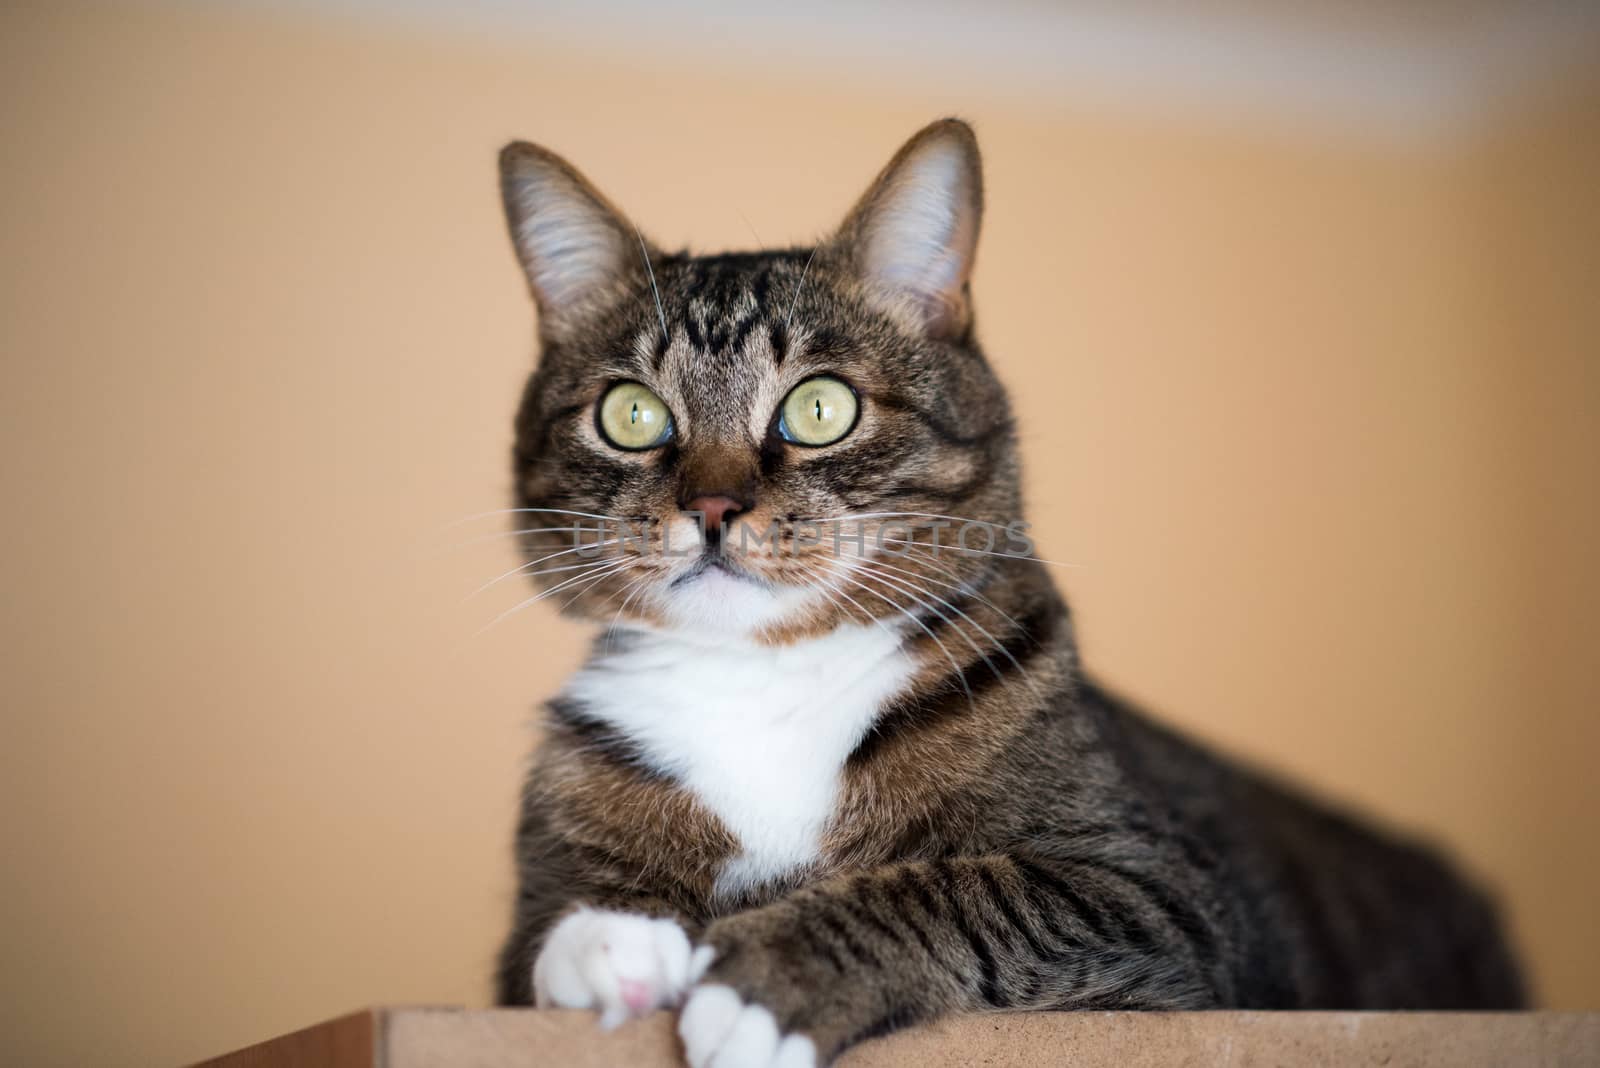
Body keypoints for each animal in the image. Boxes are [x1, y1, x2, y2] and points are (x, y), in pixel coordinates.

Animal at [489, 119, 1523, 1068]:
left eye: (820, 408)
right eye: (632, 415)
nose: (710, 506)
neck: (760, 682)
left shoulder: (1166, 907)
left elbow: (968, 888)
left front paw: (769, 980)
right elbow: (537, 950)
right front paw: (603, 940)